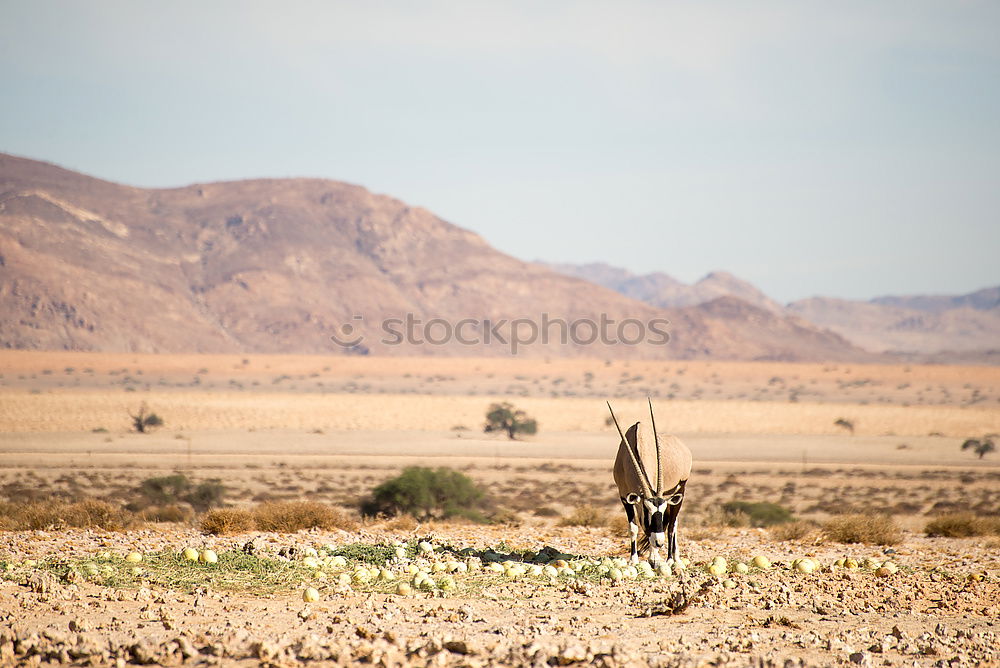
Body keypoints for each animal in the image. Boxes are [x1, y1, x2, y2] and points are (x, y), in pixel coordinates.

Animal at [604, 400, 692, 568]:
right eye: (648, 512)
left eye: (659, 513)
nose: (659, 543)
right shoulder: (624, 496)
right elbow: (634, 528)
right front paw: (633, 559)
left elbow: (667, 525)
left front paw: (655, 558)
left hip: (680, 490)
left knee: (672, 525)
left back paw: (673, 559)